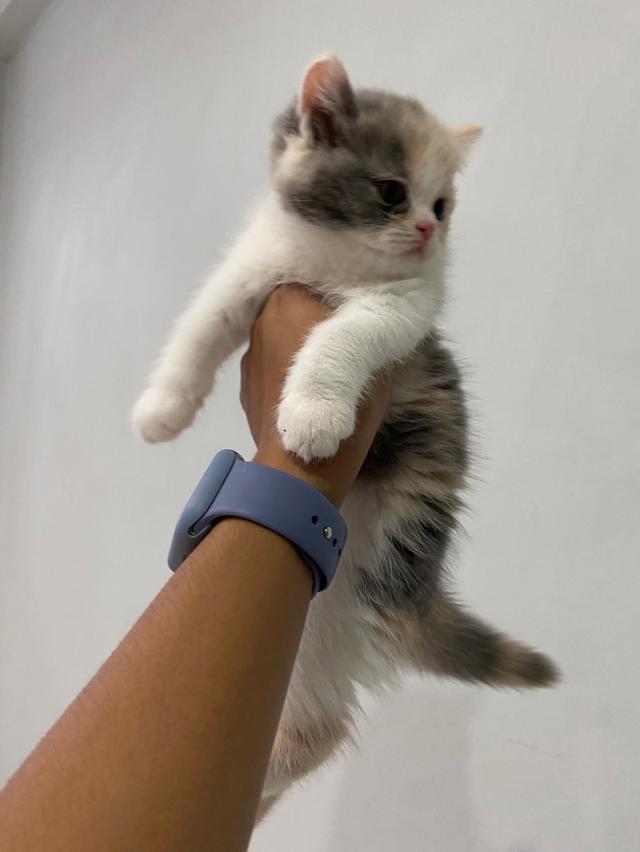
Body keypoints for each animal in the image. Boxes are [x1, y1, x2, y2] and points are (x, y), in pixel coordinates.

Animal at [132, 55, 558, 818]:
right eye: (392, 193)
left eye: (442, 206)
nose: (425, 231)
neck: (334, 262)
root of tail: (413, 594)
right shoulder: (249, 276)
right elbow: (200, 327)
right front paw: (162, 410)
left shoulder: (402, 312)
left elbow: (342, 337)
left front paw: (314, 415)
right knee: (305, 735)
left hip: (359, 587)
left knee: (310, 734)